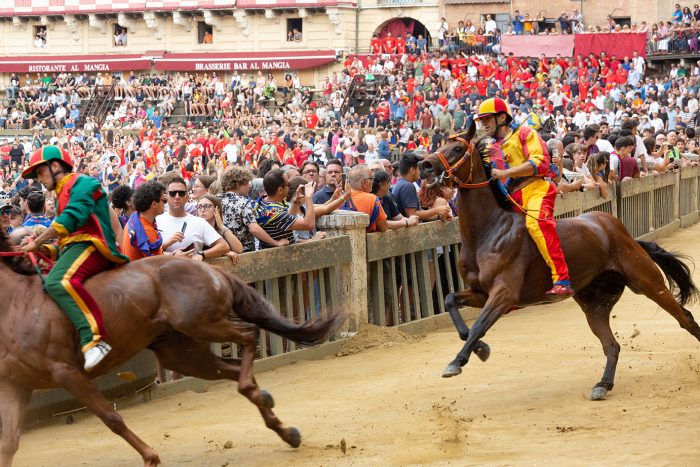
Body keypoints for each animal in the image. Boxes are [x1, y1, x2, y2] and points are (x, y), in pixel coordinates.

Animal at [0, 231, 348, 467]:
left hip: (201, 324)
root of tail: (211, 269)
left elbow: (111, 419)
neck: (16, 304)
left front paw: (150, 456)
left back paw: (262, 399)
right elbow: (9, 443)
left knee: (249, 336)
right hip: (184, 354)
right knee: (235, 368)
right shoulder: (16, 385)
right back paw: (282, 426)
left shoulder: (67, 372)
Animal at [418, 124, 700, 402]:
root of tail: (621, 231)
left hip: (646, 280)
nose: (425, 165)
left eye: (457, 148)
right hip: (595, 303)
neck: (488, 231)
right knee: (611, 345)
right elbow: (451, 302)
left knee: (683, 317)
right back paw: (603, 384)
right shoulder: (480, 292)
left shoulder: (504, 293)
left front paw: (457, 361)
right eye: (442, 144)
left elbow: (478, 325)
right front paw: (480, 348)